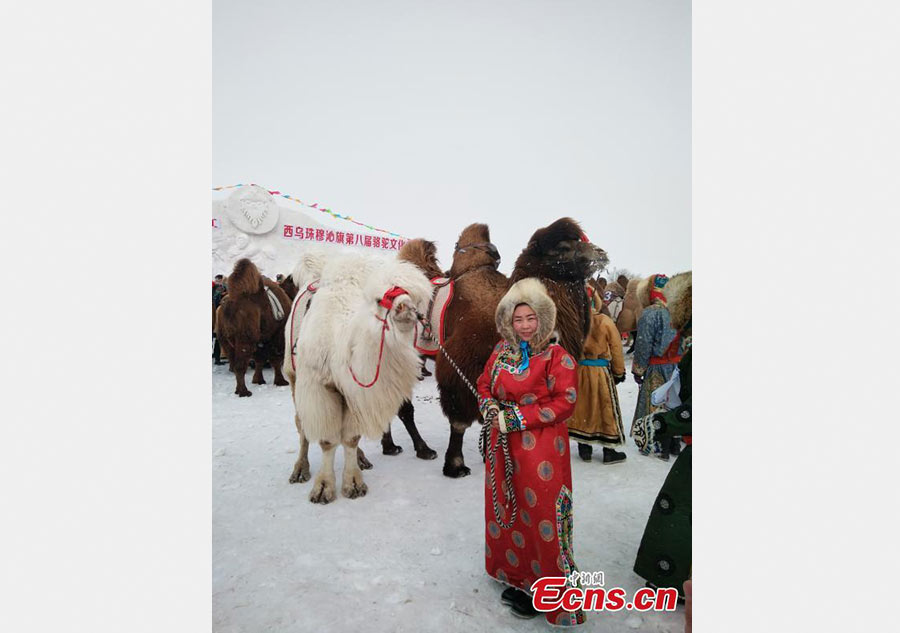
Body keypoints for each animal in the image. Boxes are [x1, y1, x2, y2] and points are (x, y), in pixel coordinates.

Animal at [284, 249, 434, 502]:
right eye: (379, 300)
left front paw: (354, 483)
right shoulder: (319, 387)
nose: (405, 307)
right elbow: (327, 439)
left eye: (409, 294)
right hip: (292, 375)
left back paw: (362, 459)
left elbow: (350, 438)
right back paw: (299, 469)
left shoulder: (354, 391)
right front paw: (323, 488)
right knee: (302, 423)